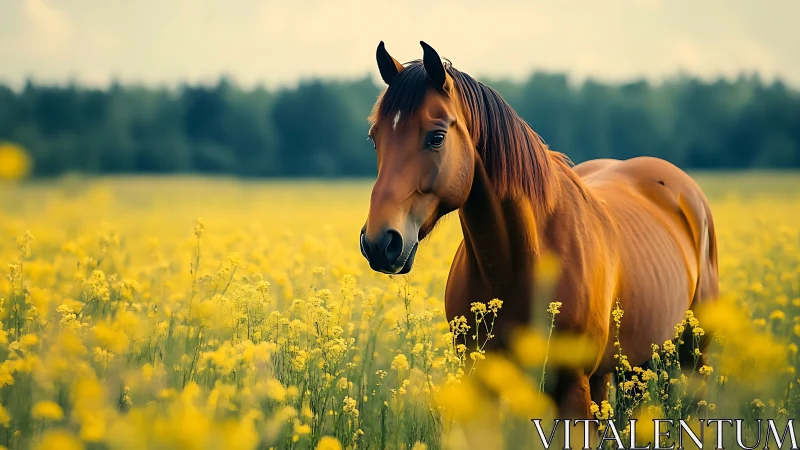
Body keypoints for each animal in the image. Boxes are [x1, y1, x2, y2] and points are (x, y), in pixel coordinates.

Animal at [359, 41, 719, 419]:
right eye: (374, 138)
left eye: (437, 137)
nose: (380, 242)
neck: (519, 263)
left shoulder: (573, 387)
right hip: (627, 369)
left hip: (688, 358)